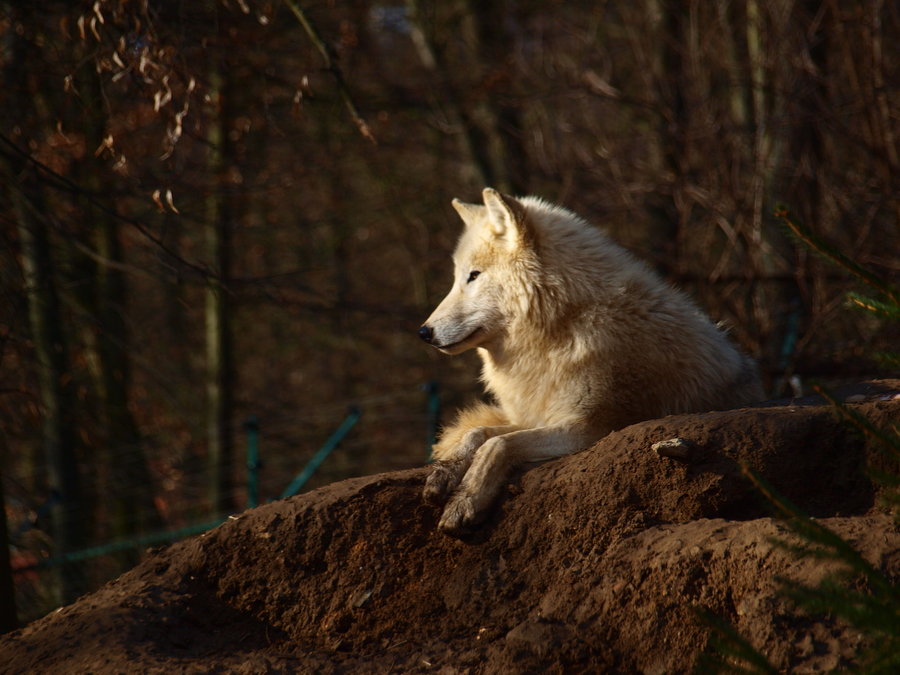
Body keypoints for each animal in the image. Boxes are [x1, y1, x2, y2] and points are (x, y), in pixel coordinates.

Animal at [418, 187, 764, 536]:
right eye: (458, 277)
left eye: (473, 276)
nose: (424, 332)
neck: (562, 326)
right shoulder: (539, 415)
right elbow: (478, 434)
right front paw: (444, 472)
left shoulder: (590, 427)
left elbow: (498, 444)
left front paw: (466, 501)